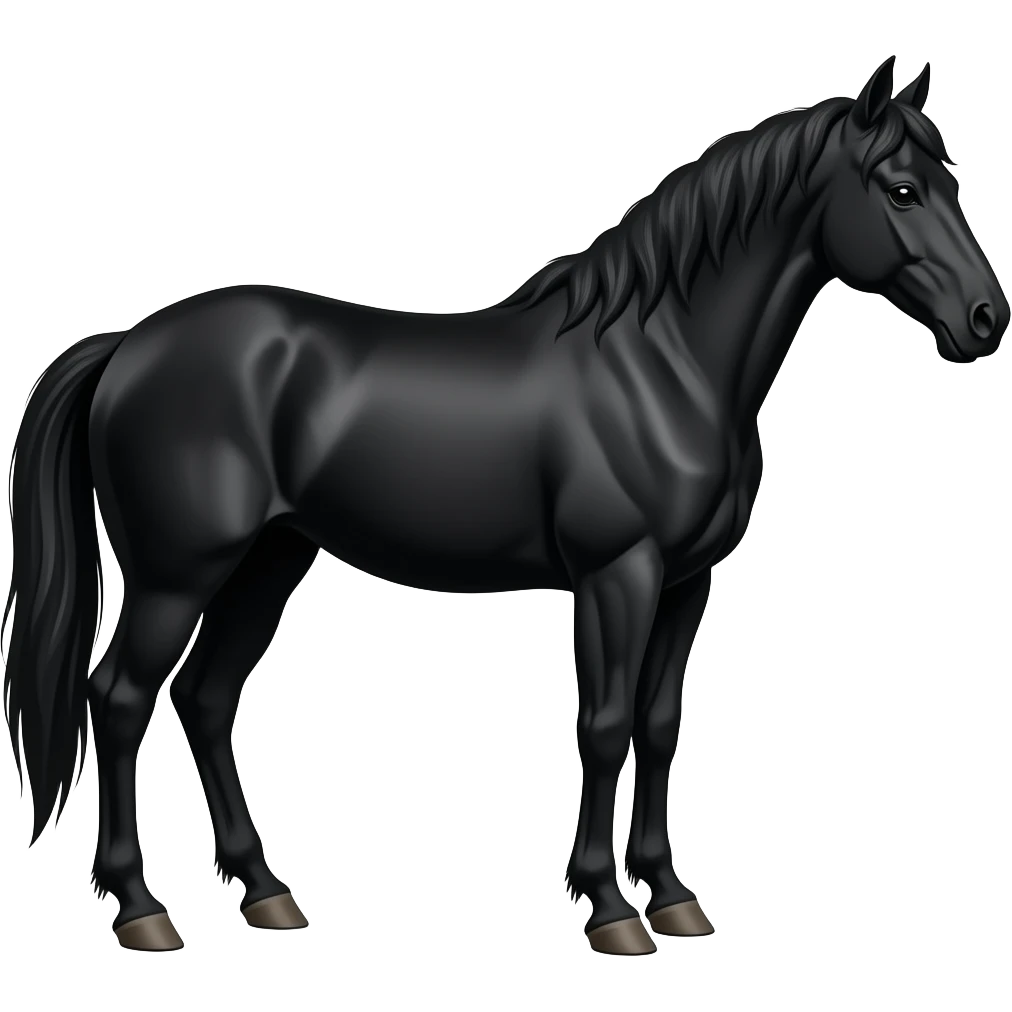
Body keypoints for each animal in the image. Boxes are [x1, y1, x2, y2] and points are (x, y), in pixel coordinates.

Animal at [1, 55, 1006, 955]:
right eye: (902, 190)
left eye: (950, 179)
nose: (986, 320)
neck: (663, 363)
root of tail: (131, 344)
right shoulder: (617, 576)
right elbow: (603, 727)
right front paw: (610, 909)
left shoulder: (688, 583)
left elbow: (659, 725)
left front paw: (674, 897)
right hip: (177, 576)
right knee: (118, 699)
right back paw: (141, 908)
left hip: (268, 561)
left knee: (207, 701)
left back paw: (267, 894)